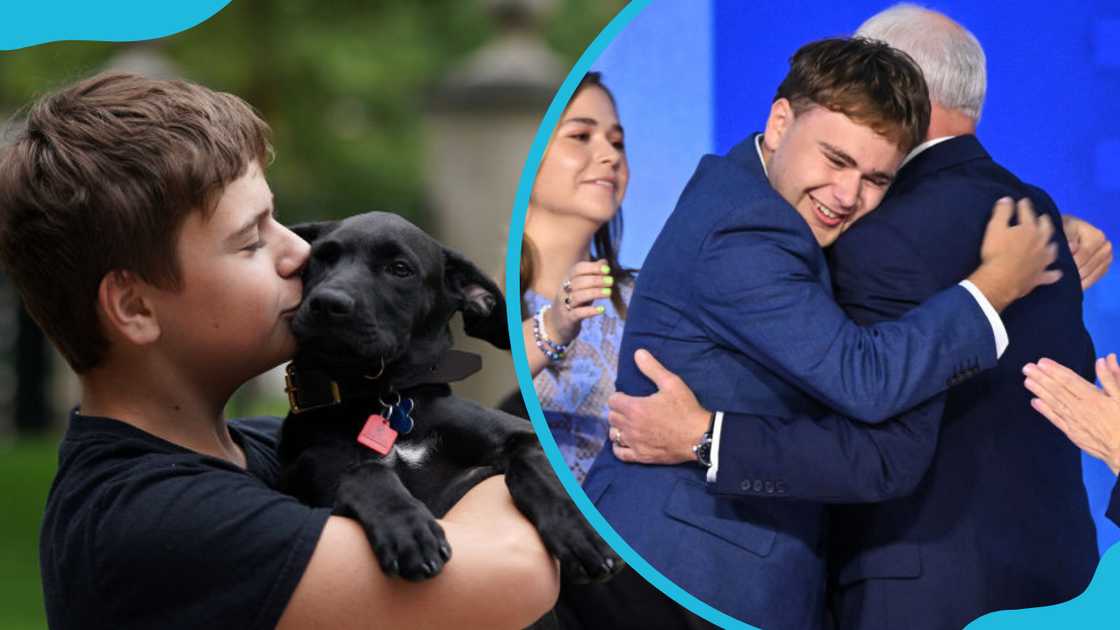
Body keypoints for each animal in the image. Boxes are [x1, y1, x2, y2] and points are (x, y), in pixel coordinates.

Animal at [274, 211, 618, 582]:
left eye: (399, 269)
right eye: (322, 257)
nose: (327, 303)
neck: (387, 398)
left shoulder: (521, 435)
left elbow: (535, 469)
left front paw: (581, 532)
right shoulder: (306, 472)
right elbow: (365, 472)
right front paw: (408, 529)